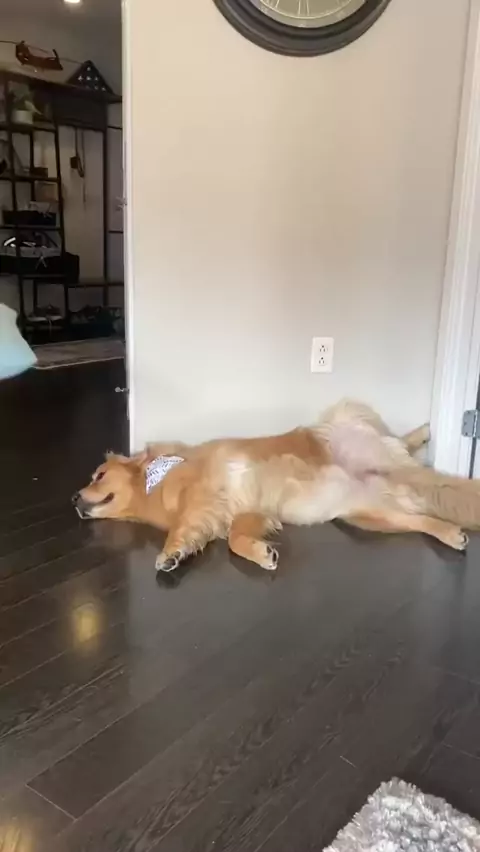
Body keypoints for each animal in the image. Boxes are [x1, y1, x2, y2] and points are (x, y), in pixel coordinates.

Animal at [73, 400, 479, 573]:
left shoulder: (202, 498)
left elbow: (186, 527)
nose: (74, 497)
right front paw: (259, 552)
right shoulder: (249, 513)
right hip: (369, 516)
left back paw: (422, 433)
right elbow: (236, 539)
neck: (155, 483)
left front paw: (170, 552)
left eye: (98, 476)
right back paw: (450, 533)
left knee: (401, 446)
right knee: (420, 517)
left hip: (346, 425)